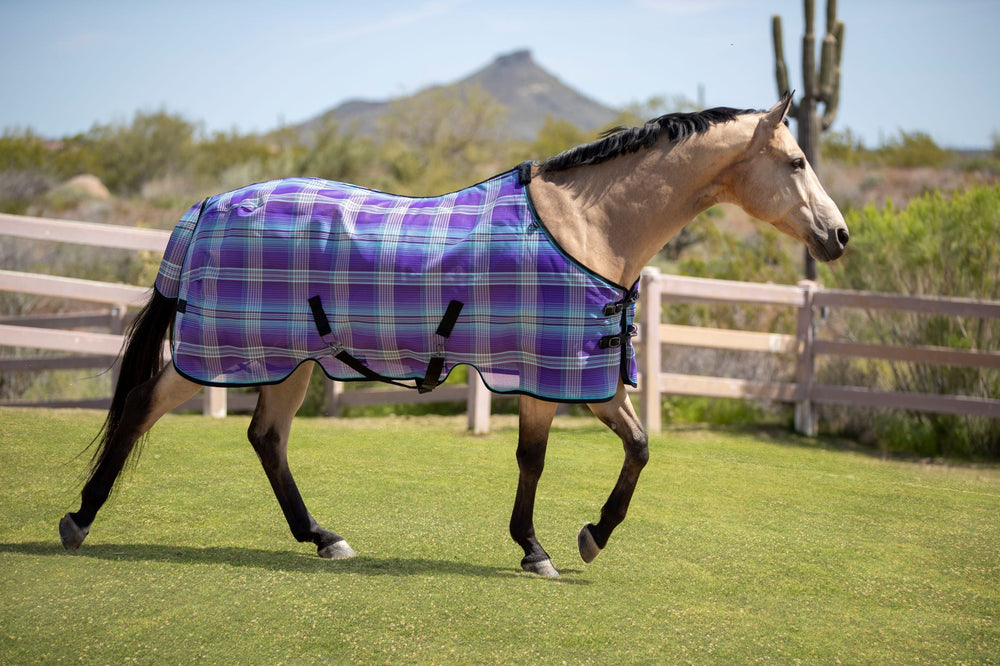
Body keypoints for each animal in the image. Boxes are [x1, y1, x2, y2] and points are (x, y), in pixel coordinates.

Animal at [59, 95, 848, 578]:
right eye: (797, 161)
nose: (838, 236)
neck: (586, 228)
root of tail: (206, 205)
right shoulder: (556, 372)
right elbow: (550, 458)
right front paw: (554, 546)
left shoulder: (575, 374)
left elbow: (633, 446)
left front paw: (578, 539)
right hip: (225, 351)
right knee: (144, 408)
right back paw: (79, 521)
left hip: (292, 359)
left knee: (267, 439)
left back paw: (323, 537)